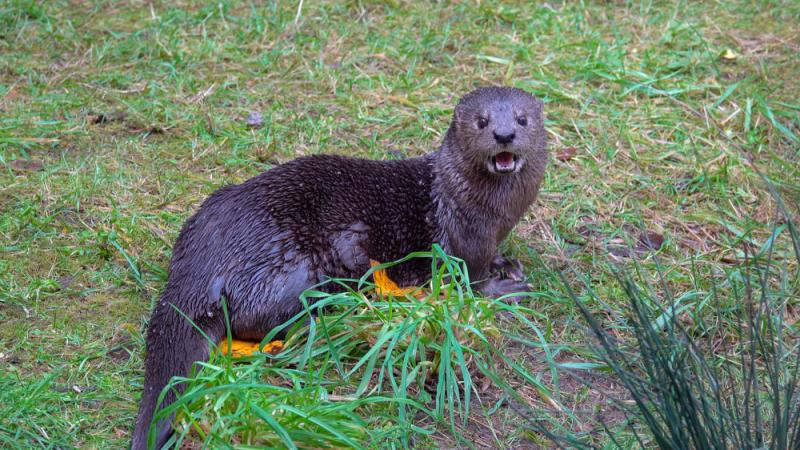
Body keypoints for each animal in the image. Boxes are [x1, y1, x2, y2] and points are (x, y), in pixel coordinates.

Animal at [133, 86, 552, 448]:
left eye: (522, 119)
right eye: (482, 121)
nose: (503, 134)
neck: (487, 210)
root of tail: (203, 258)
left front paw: (506, 263)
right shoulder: (465, 239)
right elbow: (472, 281)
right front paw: (506, 289)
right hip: (292, 268)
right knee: (257, 324)